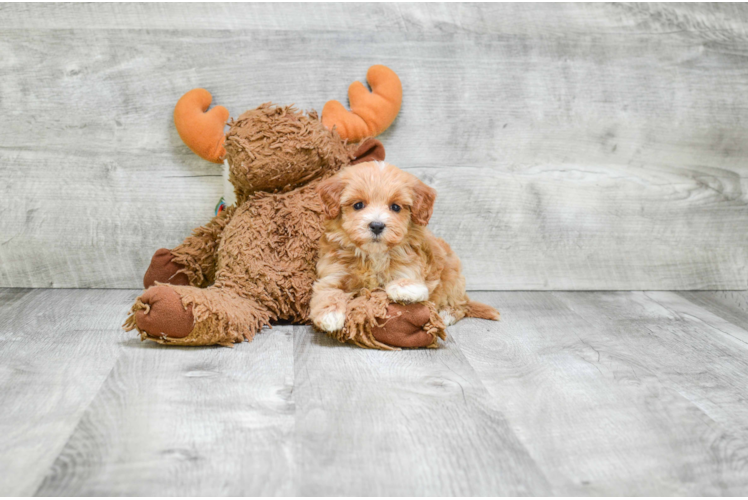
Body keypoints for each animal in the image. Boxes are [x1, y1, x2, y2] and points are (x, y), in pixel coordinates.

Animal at [306, 161, 500, 336]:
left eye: (395, 207)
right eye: (358, 205)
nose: (377, 225)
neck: (373, 255)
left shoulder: (412, 266)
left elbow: (408, 280)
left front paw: (403, 288)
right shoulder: (332, 273)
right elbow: (328, 292)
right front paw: (329, 315)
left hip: (452, 277)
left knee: (460, 305)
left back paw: (446, 314)